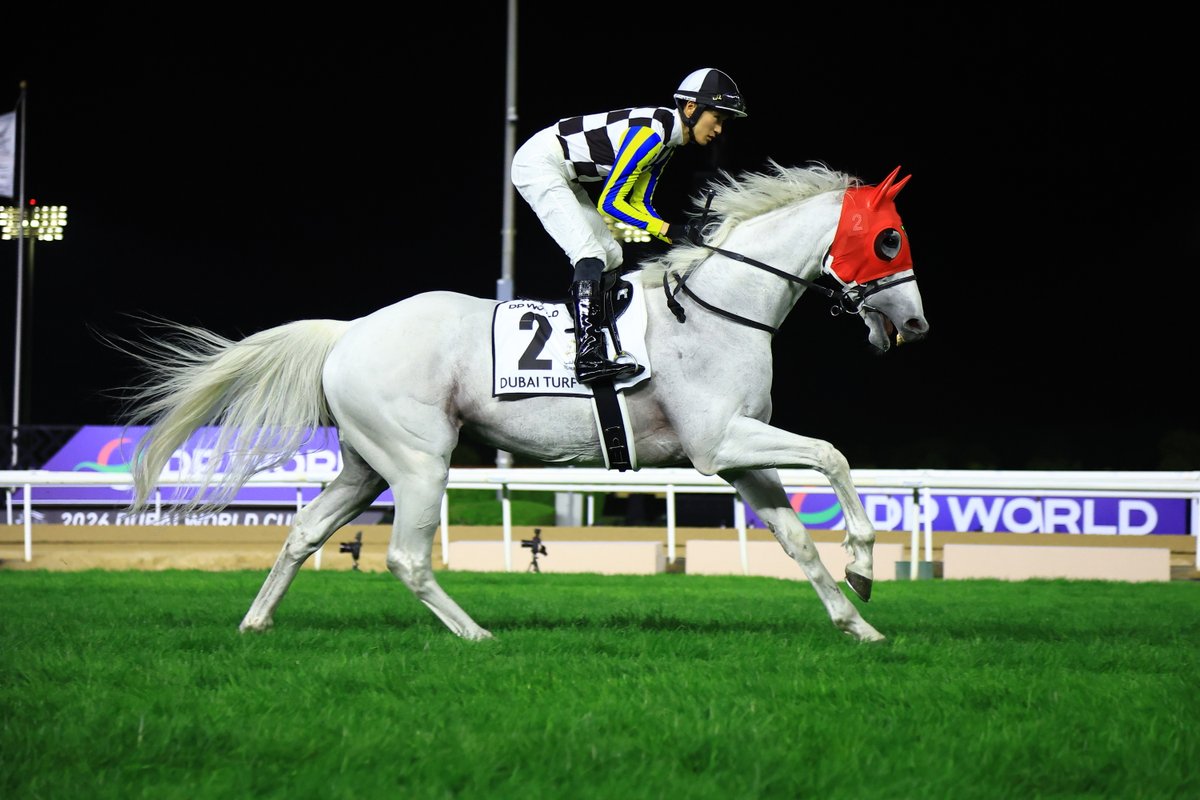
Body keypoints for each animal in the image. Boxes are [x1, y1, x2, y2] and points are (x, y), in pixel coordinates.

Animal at [116, 161, 928, 643]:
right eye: (891, 239)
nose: (917, 324)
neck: (717, 308)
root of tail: (350, 332)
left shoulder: (738, 451)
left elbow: (796, 539)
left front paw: (857, 622)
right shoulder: (717, 442)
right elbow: (834, 455)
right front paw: (864, 562)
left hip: (365, 465)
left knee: (304, 533)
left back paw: (255, 625)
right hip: (419, 460)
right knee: (405, 557)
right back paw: (476, 636)